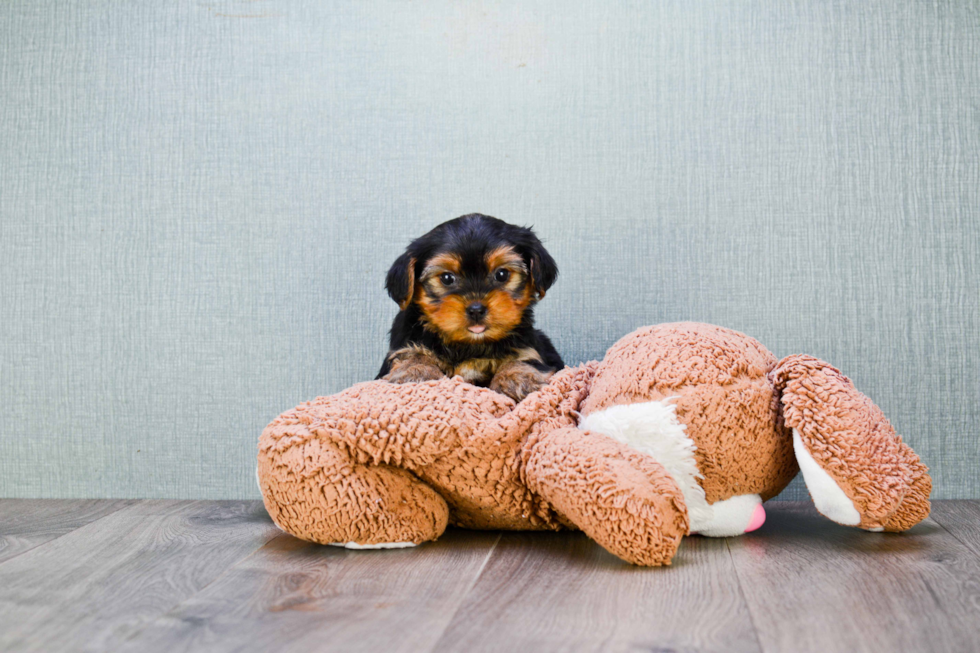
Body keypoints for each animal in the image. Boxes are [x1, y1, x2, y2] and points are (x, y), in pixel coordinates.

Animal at [382, 213, 568, 402]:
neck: (470, 344)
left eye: (502, 274)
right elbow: (411, 354)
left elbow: (523, 358)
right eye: (447, 278)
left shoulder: (529, 349)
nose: (476, 309)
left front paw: (517, 378)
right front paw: (416, 371)